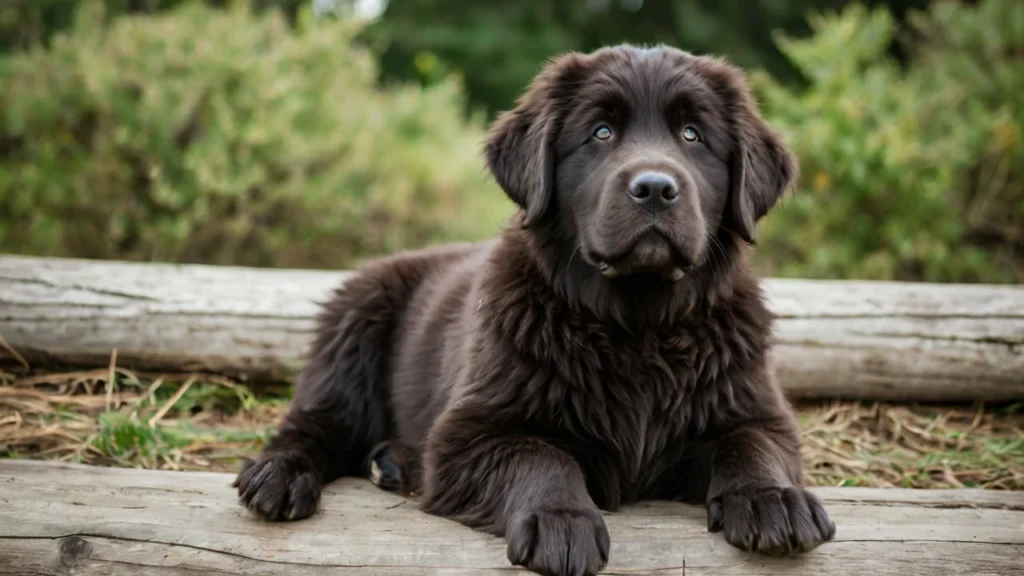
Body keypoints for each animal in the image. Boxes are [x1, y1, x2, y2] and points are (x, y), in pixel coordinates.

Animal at [235, 42, 835, 569]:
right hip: (355, 327)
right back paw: (278, 475)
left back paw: (394, 464)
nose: (655, 188)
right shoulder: (469, 433)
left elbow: (751, 441)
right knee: (315, 424)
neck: (637, 323)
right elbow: (542, 454)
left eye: (693, 134)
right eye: (601, 132)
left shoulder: (757, 408)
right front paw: (559, 519)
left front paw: (773, 499)